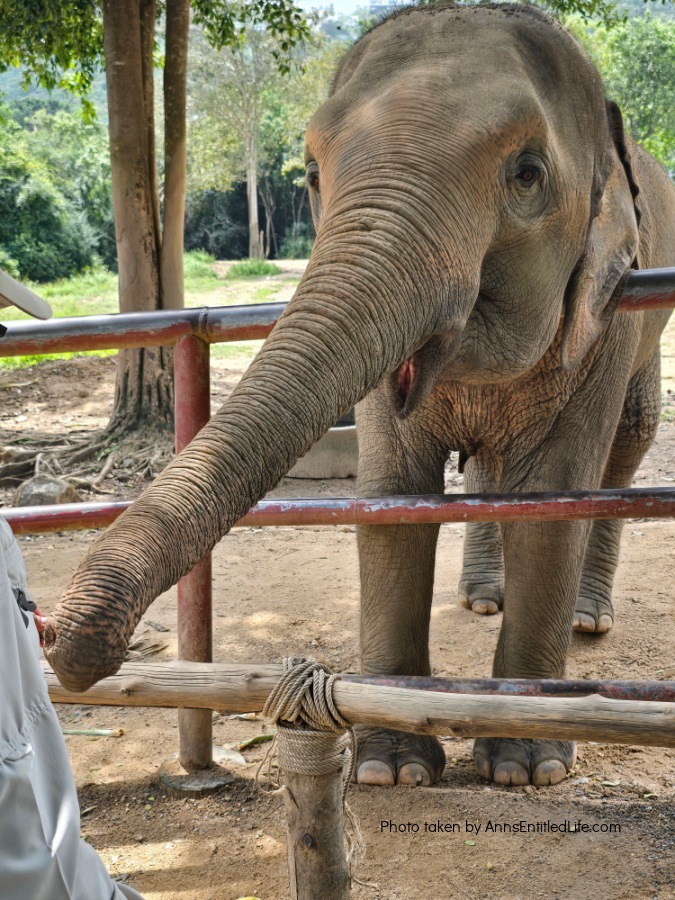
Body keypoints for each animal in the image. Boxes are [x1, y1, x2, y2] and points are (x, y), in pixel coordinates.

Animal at [44, 3, 675, 788]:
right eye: (313, 172)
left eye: (527, 175)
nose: (58, 642)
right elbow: (390, 494)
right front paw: (390, 771)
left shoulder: (603, 318)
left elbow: (552, 498)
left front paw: (524, 769)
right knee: (490, 468)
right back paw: (479, 599)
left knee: (627, 443)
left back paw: (587, 619)